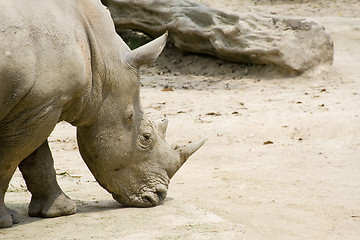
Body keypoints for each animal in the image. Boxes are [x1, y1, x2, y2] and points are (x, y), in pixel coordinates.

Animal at [0, 0, 205, 228]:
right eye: (146, 137)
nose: (159, 196)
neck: (101, 63)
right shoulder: (40, 107)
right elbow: (9, 160)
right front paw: (5, 221)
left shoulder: (37, 105)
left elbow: (36, 157)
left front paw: (60, 211)